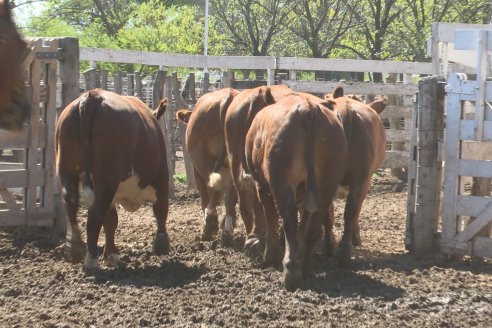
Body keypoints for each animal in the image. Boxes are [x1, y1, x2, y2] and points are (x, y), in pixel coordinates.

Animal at [56, 89, 169, 270]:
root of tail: (92, 96)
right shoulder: (161, 178)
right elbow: (161, 209)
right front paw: (162, 243)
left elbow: (111, 221)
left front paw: (110, 254)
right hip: (106, 181)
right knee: (95, 214)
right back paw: (91, 260)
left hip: (69, 170)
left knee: (71, 202)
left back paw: (74, 248)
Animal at [176, 87, 239, 243]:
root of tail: (228, 96)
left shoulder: (196, 170)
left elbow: (206, 197)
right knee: (229, 196)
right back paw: (227, 231)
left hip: (202, 161)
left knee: (211, 190)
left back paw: (209, 225)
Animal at [245, 93, 346, 290]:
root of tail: (308, 110)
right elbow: (304, 222)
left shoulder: (262, 185)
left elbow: (271, 217)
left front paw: (270, 254)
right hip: (326, 184)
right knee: (313, 224)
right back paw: (305, 267)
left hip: (283, 182)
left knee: (288, 217)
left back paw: (291, 271)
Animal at [322, 86, 388, 266]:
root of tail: (346, 109)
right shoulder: (366, 182)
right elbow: (356, 209)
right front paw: (356, 237)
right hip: (361, 179)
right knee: (351, 210)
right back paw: (344, 249)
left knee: (327, 212)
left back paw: (329, 246)